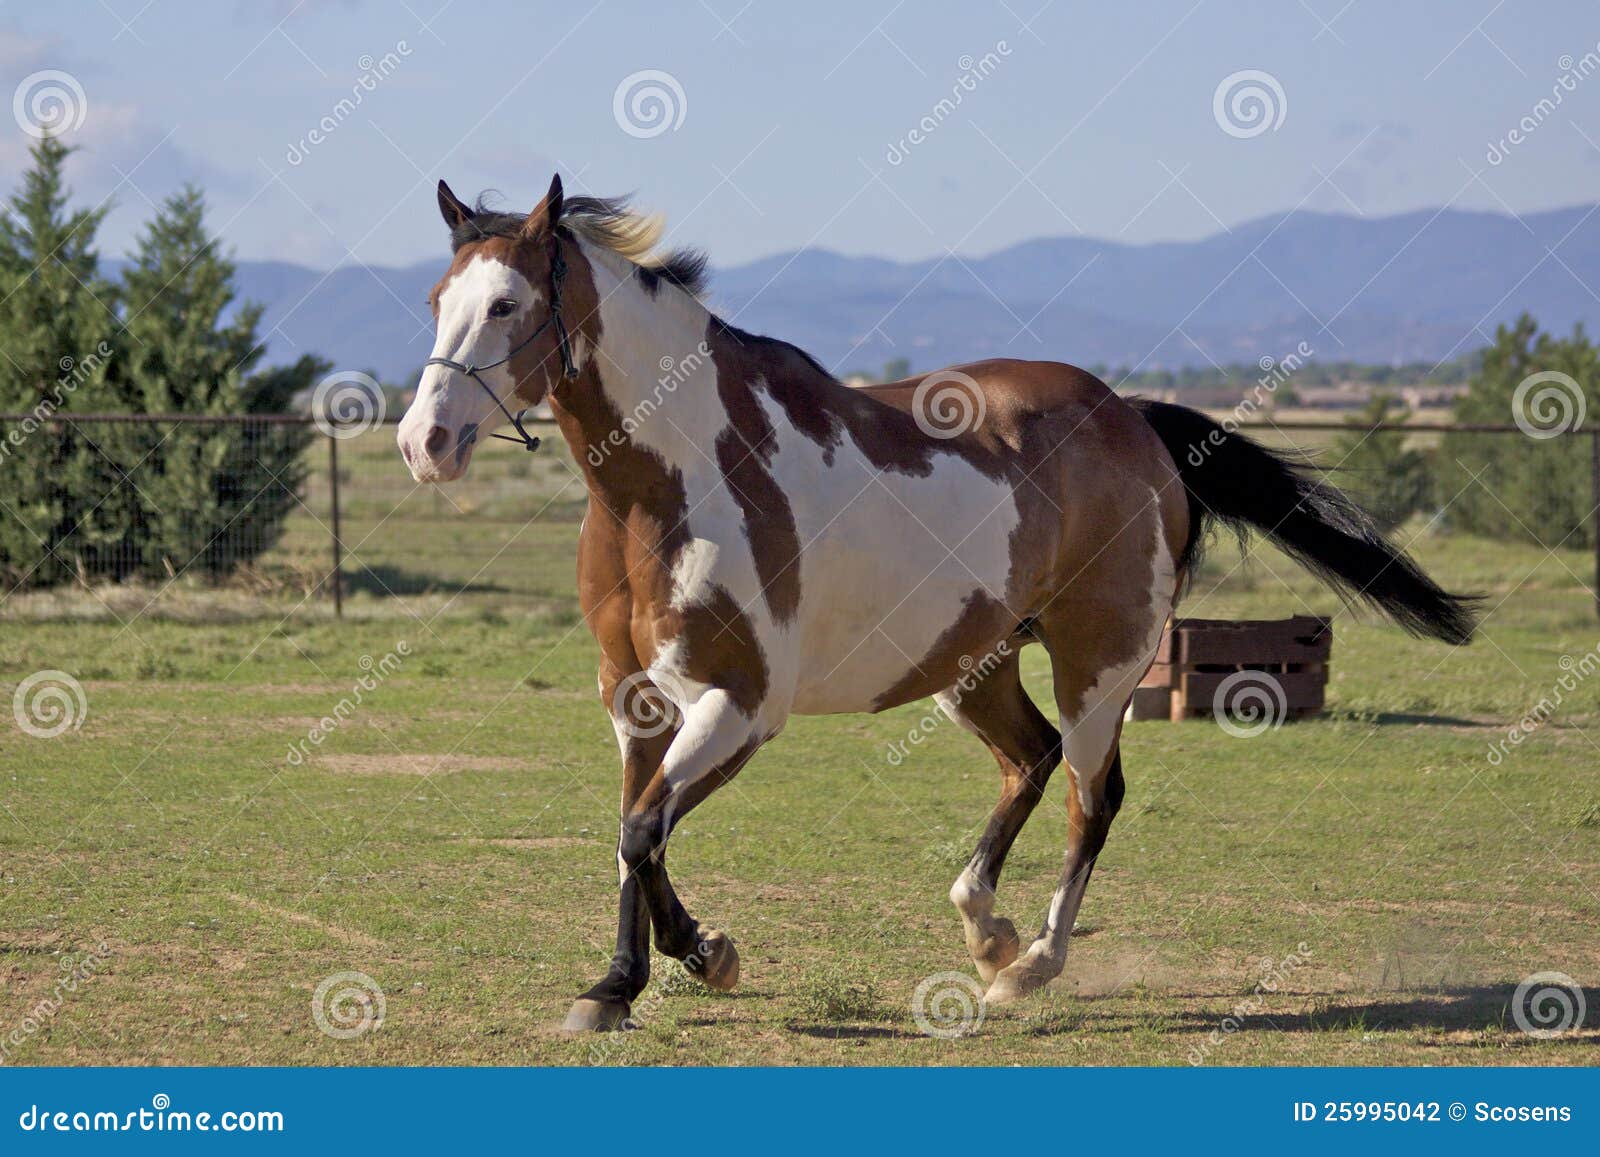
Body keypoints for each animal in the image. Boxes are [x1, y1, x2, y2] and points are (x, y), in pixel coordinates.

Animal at [397, 173, 1477, 1032]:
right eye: (438, 301)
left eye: (507, 303)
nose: (423, 442)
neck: (666, 480)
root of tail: (1131, 418)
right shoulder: (635, 701)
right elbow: (633, 834)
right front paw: (619, 985)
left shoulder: (741, 705)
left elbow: (642, 832)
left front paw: (706, 956)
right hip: (973, 663)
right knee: (1028, 759)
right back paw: (987, 929)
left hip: (1099, 664)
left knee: (1091, 792)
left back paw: (1032, 961)